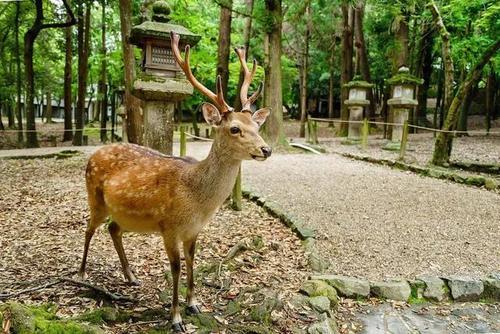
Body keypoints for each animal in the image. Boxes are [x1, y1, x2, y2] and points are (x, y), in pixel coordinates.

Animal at [78, 32, 272, 332]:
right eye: (234, 128)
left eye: (257, 126)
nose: (266, 149)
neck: (197, 202)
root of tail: (93, 155)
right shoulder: (168, 226)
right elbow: (176, 267)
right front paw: (176, 318)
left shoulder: (193, 230)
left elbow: (192, 262)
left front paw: (194, 304)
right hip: (94, 197)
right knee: (88, 229)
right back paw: (82, 273)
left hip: (121, 212)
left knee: (113, 229)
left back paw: (130, 275)